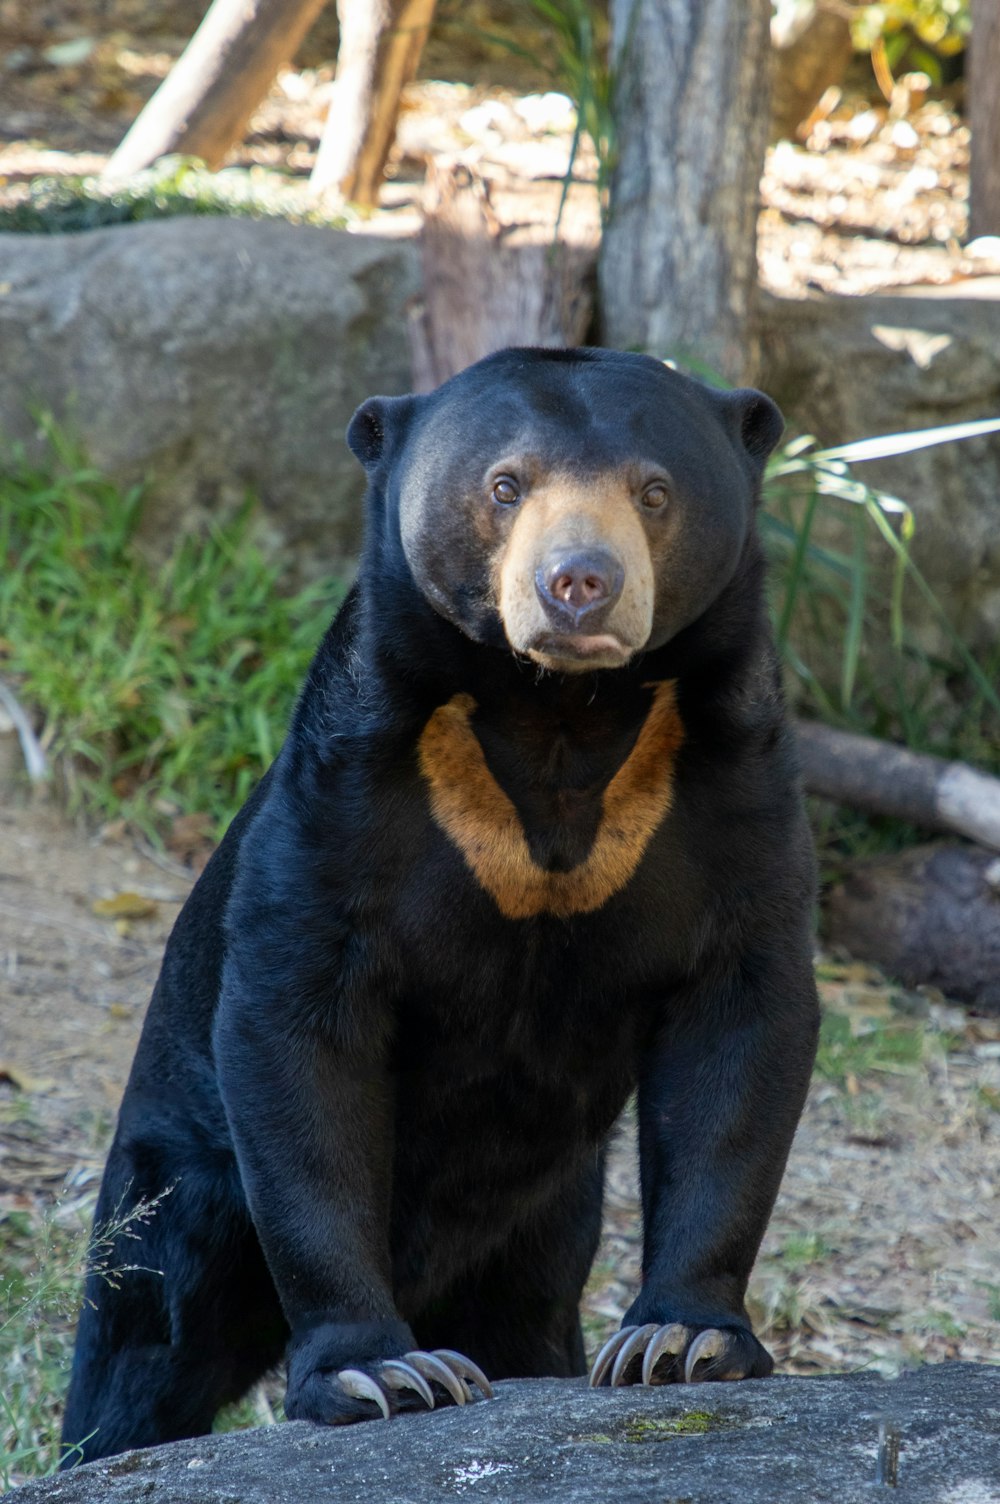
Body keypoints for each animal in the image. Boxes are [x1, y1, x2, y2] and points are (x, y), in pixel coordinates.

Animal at [64, 345, 818, 1461]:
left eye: (654, 490)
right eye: (505, 485)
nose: (579, 583)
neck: (558, 711)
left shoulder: (733, 781)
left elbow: (742, 1021)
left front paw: (680, 1342)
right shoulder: (348, 787)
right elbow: (302, 1026)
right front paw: (385, 1372)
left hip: (546, 1218)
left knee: (526, 1316)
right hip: (180, 1183)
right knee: (141, 1346)